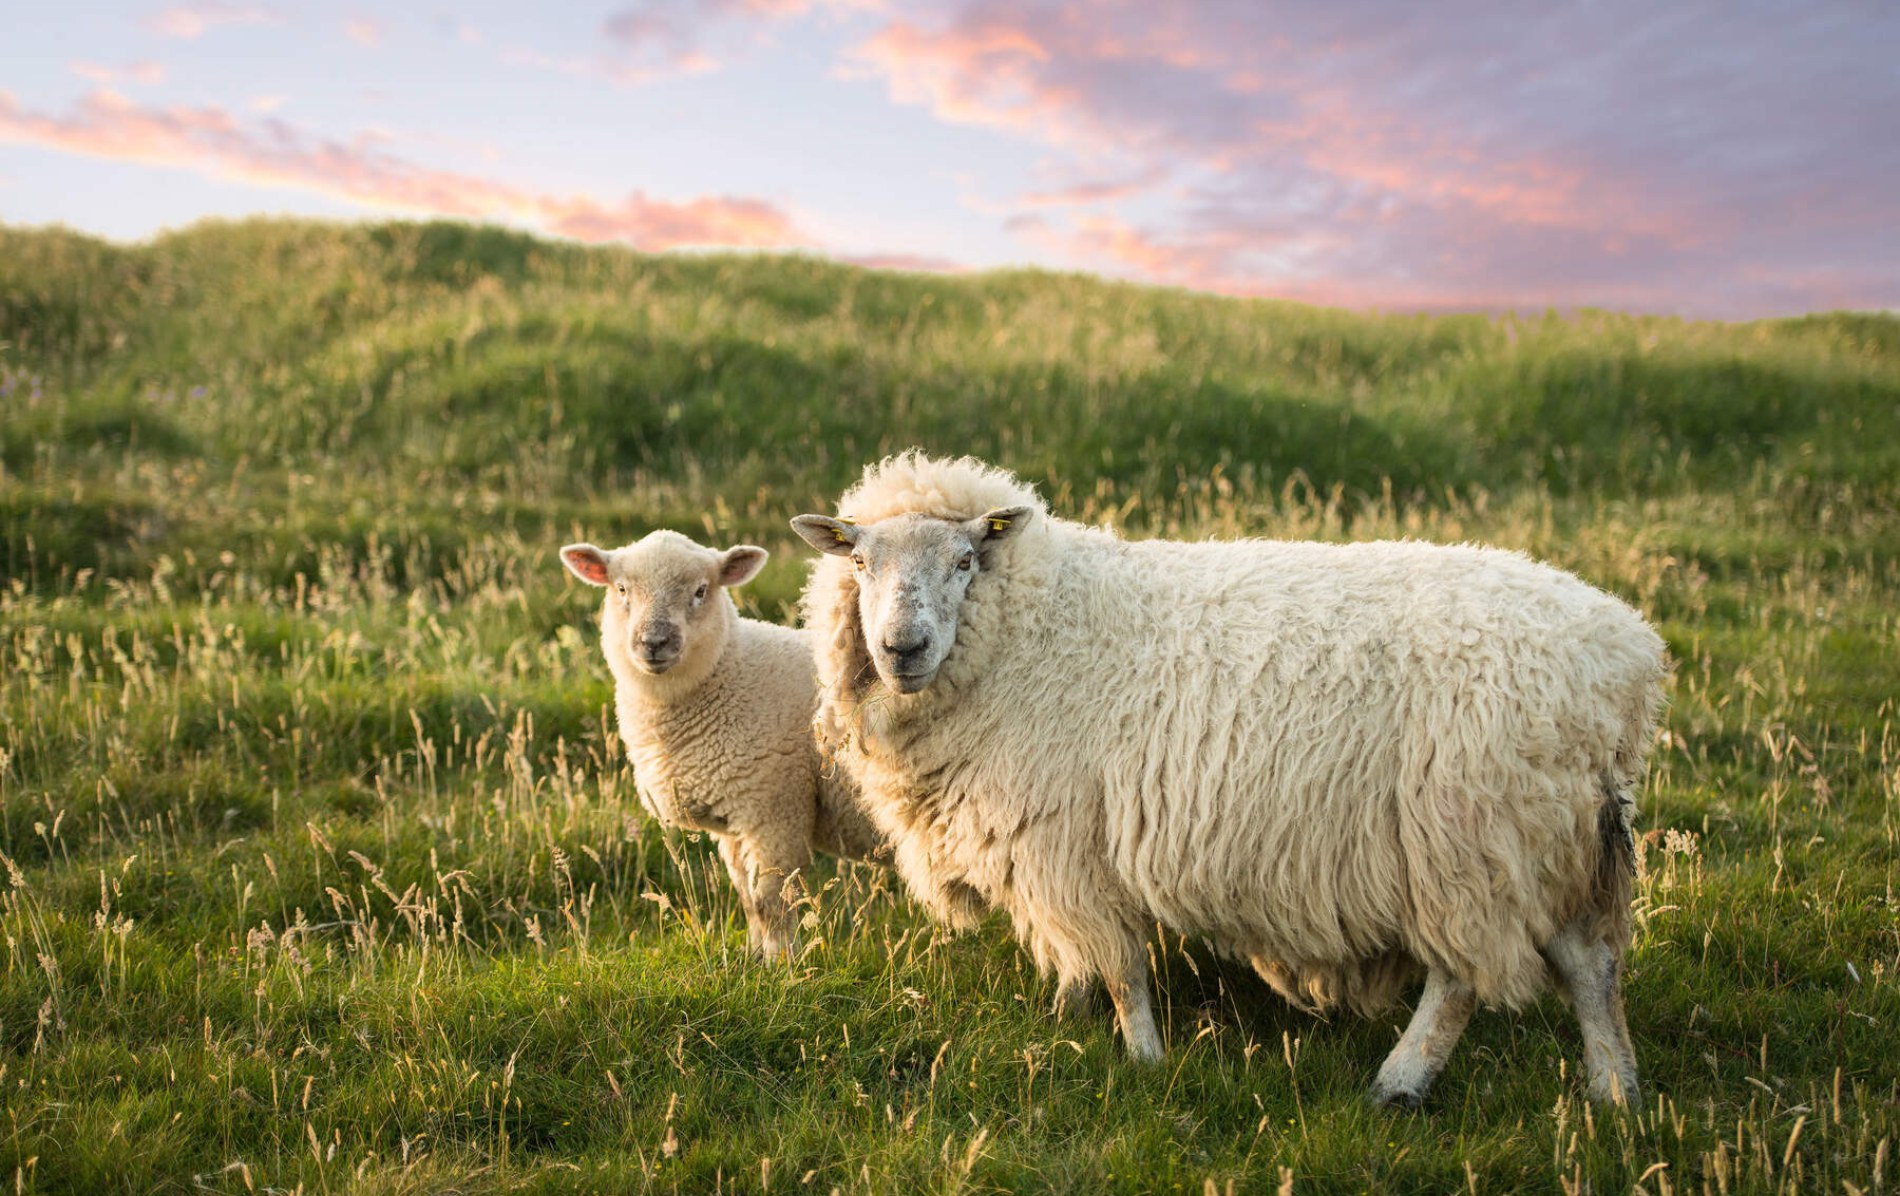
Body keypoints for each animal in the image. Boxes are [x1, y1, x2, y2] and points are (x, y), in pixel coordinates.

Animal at [554, 532, 881, 962]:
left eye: (700, 591)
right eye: (621, 589)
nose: (654, 642)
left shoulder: (775, 808)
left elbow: (772, 899)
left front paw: (782, 964)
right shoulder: (733, 819)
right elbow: (748, 898)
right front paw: (755, 957)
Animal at [794, 452, 1672, 1102]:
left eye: (965, 560)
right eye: (861, 562)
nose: (903, 647)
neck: (1035, 628)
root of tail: (1627, 660)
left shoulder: (1068, 841)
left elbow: (1120, 966)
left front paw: (1143, 1059)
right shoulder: (1052, 851)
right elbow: (1082, 958)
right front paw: (1062, 1019)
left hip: (1468, 829)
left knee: (1461, 977)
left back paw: (1401, 1083)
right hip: (1550, 831)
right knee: (1592, 963)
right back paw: (1615, 1093)